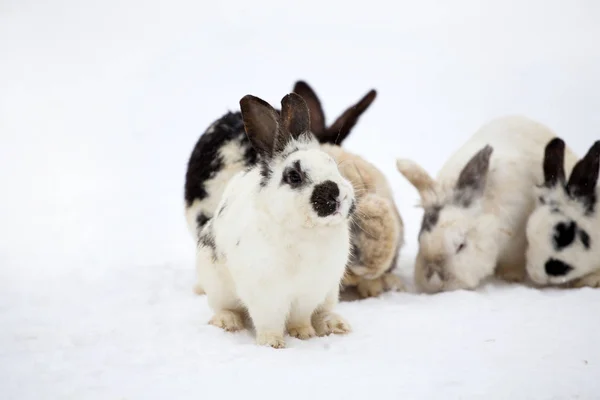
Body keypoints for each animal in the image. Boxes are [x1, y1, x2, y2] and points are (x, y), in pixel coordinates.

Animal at [197, 92, 356, 348]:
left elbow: (301, 316)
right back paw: (228, 322)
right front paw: (272, 344)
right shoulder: (266, 295)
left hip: (331, 292)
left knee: (322, 312)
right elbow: (269, 321)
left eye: (332, 163)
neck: (307, 231)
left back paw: (336, 325)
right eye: (294, 176)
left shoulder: (310, 291)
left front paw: (303, 334)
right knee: (225, 308)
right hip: (216, 283)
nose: (336, 193)